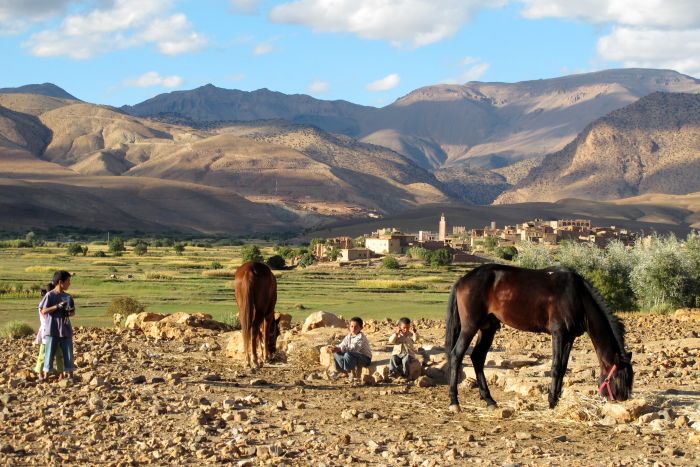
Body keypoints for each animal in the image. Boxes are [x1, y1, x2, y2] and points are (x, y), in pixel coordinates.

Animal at [448, 266, 636, 412]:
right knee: (456, 355)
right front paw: (551, 401)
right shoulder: (558, 334)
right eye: (619, 377)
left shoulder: (569, 337)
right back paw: (454, 403)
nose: (622, 398)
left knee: (477, 357)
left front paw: (556, 399)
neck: (577, 296)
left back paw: (490, 400)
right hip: (470, 326)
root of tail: (462, 280)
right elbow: (556, 367)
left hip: (488, 327)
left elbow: (563, 368)